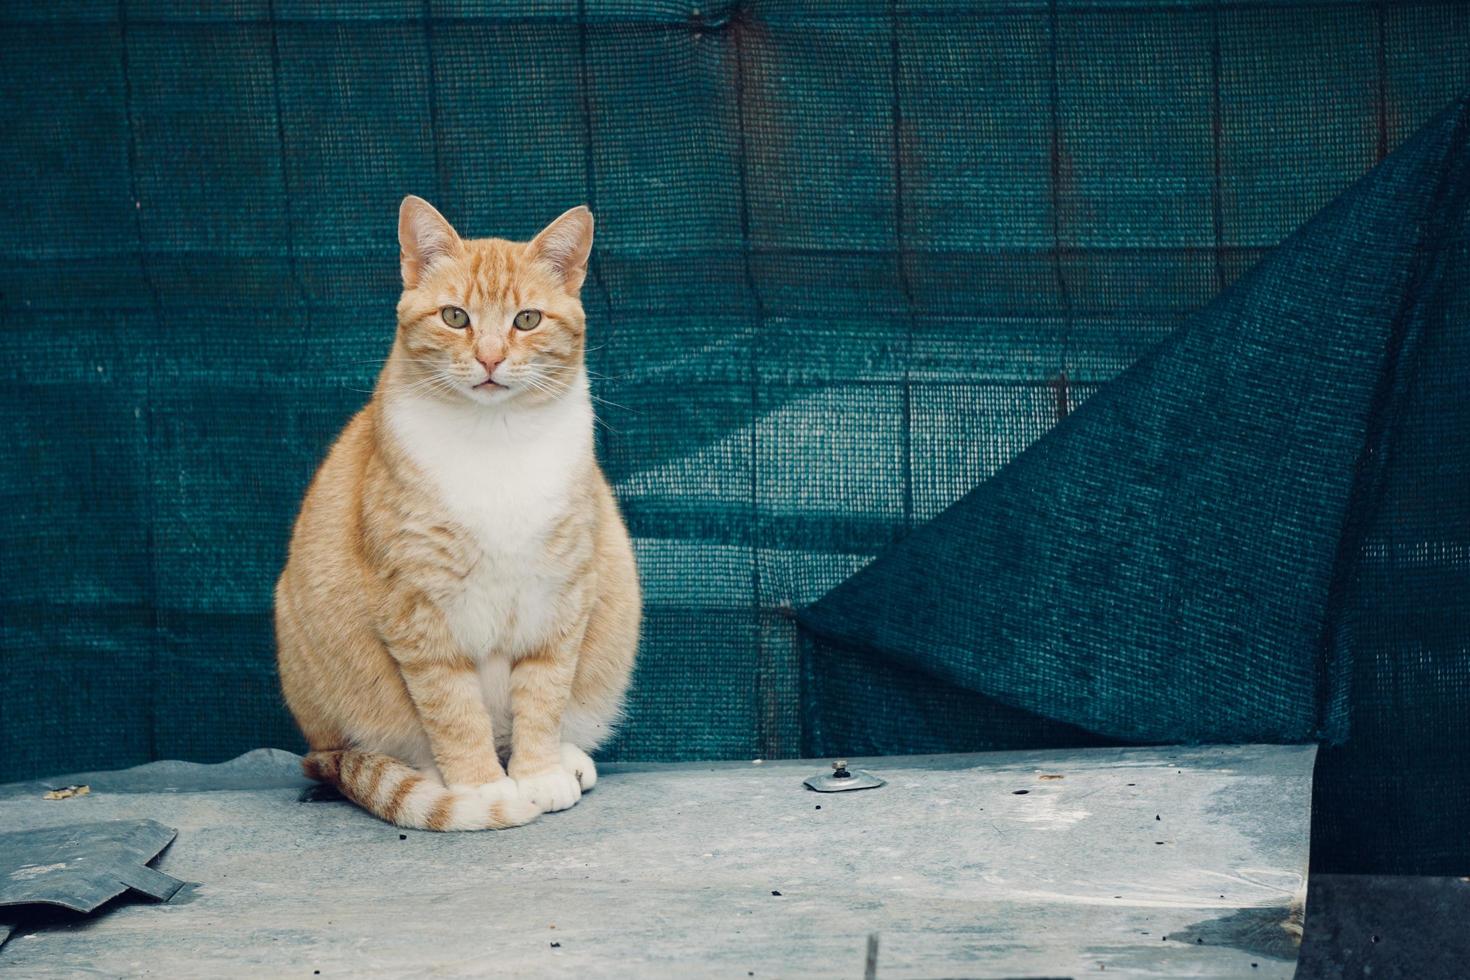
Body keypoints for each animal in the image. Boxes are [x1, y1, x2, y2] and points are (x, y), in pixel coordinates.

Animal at [274, 195, 637, 834]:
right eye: (454, 317)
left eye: (527, 320)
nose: (490, 357)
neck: (495, 442)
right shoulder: (417, 607)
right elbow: (453, 709)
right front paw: (479, 787)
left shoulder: (561, 593)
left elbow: (544, 694)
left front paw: (538, 772)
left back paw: (563, 759)